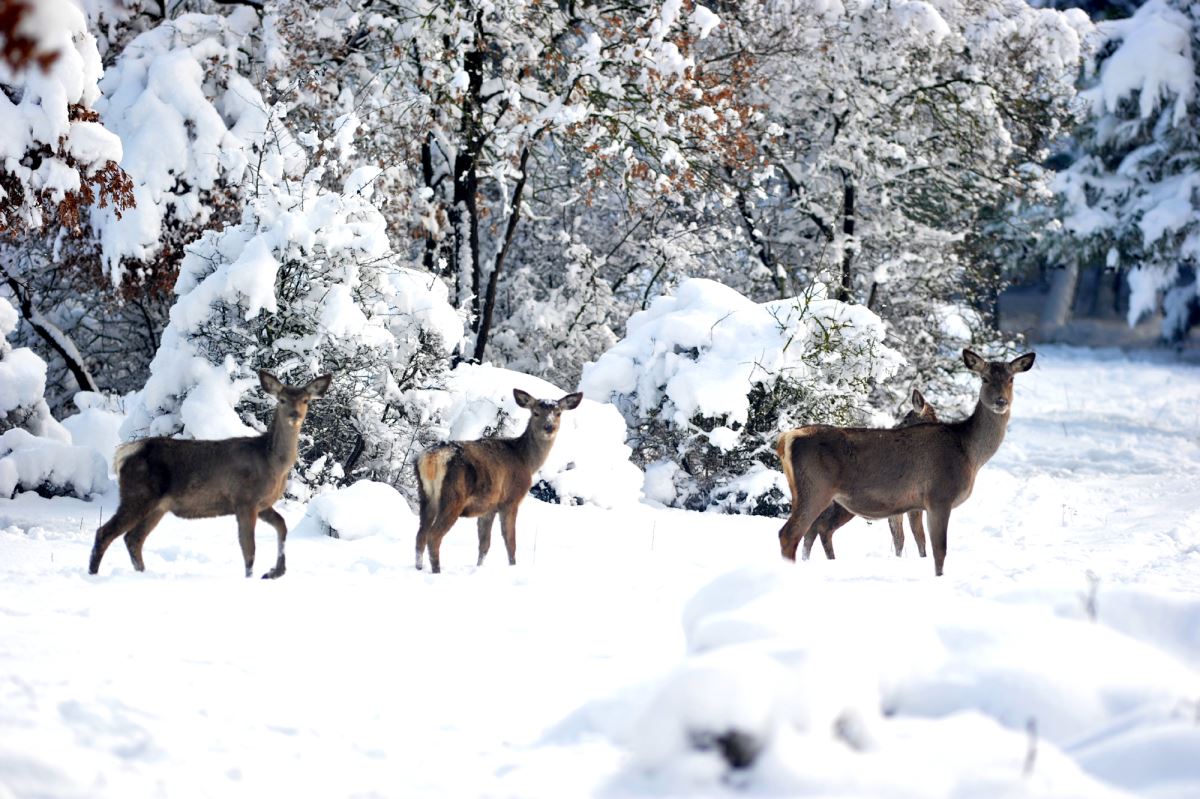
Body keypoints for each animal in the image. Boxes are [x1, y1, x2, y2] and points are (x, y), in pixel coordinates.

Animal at [87, 367, 333, 578]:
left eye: (305, 400)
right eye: (281, 400)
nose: (294, 415)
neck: (272, 462)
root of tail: (125, 454)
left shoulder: (262, 504)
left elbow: (282, 526)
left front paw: (274, 572)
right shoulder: (245, 499)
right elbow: (249, 549)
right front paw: (252, 578)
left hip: (157, 506)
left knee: (133, 538)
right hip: (137, 494)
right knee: (105, 533)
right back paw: (93, 575)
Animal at [415, 386, 583, 568]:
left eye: (558, 413)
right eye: (536, 412)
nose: (549, 427)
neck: (526, 461)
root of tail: (432, 457)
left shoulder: (488, 508)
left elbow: (484, 545)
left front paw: (479, 568)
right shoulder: (510, 500)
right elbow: (510, 542)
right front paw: (513, 566)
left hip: (426, 496)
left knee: (420, 535)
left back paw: (419, 567)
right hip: (453, 497)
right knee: (433, 536)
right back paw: (436, 570)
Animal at [801, 383, 940, 556]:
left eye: (906, 419)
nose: (894, 430)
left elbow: (899, 539)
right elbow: (919, 538)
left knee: (810, 529)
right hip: (843, 504)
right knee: (823, 529)